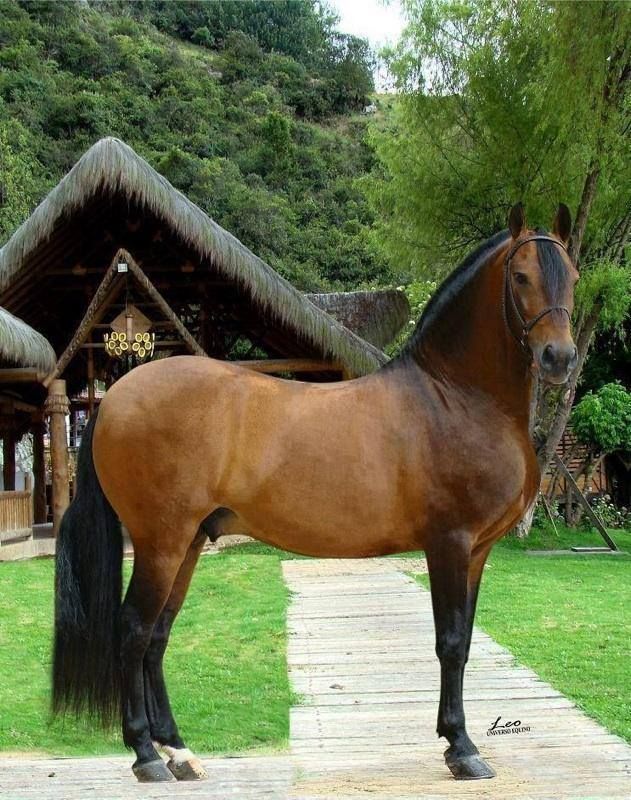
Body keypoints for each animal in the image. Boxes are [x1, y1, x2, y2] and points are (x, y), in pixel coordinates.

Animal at [52, 202, 579, 783]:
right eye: (520, 275)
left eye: (573, 276)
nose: (559, 357)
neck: (453, 397)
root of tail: (113, 397)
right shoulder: (450, 543)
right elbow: (451, 643)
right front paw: (461, 747)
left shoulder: (477, 552)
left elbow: (461, 642)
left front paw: (456, 742)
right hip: (160, 543)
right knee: (133, 630)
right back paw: (147, 755)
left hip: (186, 544)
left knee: (157, 636)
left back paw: (179, 751)